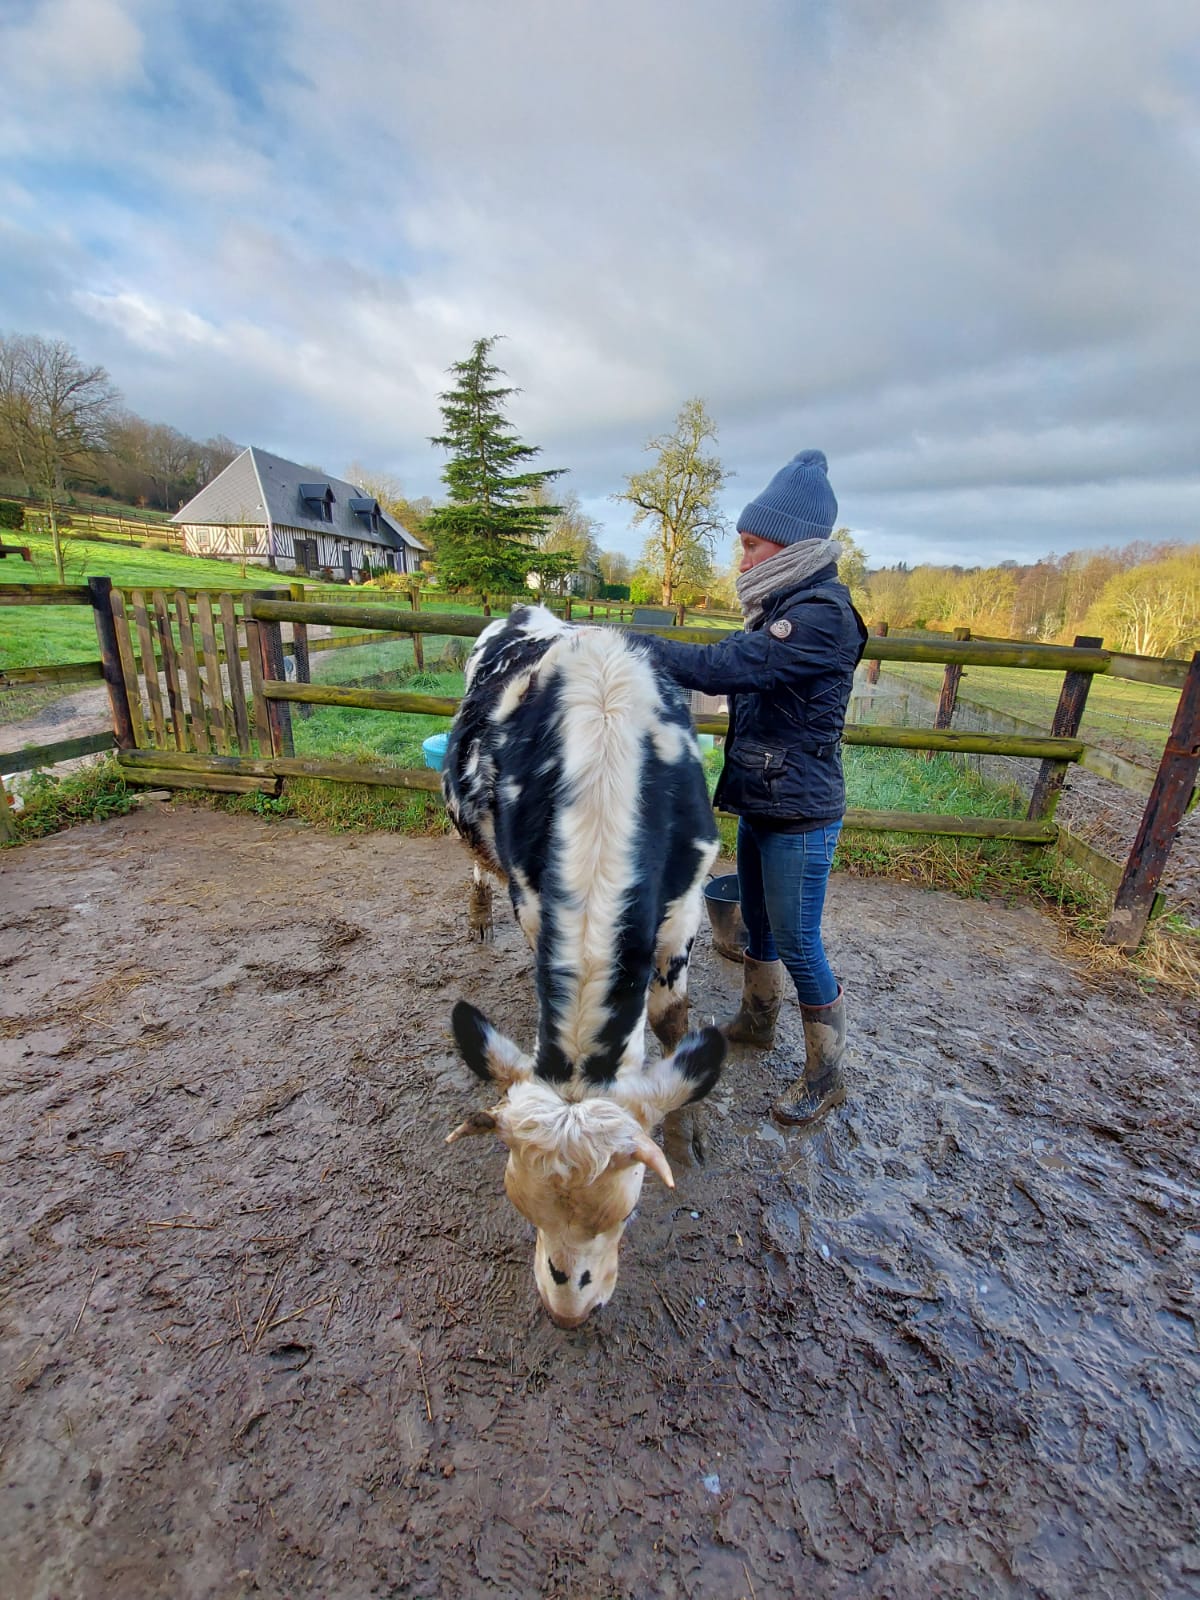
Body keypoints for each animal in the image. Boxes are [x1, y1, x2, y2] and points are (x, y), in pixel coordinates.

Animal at [442, 604, 726, 1327]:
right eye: (521, 1206)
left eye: (625, 1212)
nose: (570, 1308)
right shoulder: (533, 898)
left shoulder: (685, 904)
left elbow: (671, 1020)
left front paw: (687, 1131)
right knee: (475, 866)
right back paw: (476, 913)